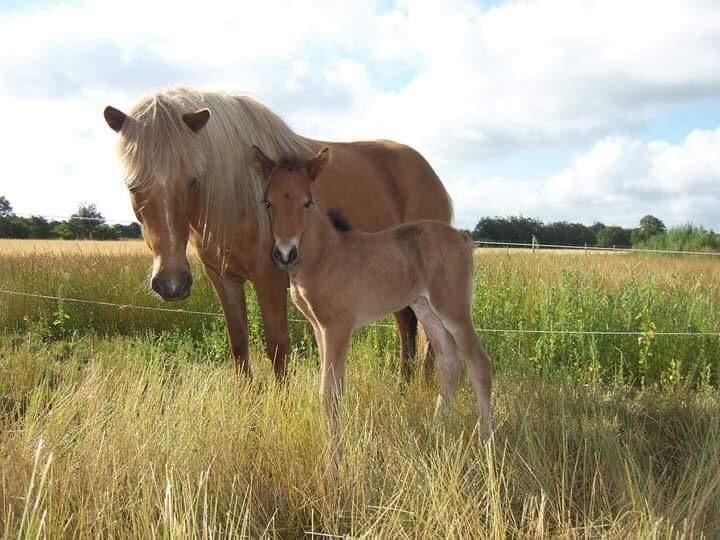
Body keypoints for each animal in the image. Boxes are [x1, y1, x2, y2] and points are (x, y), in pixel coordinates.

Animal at [101, 86, 450, 378]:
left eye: (192, 180)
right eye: (132, 186)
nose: (171, 284)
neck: (236, 194)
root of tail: (430, 173)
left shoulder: (269, 279)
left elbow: (277, 347)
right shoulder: (223, 278)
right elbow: (239, 344)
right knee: (407, 325)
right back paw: (406, 383)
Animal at [250, 144, 492, 448]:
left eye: (307, 202)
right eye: (267, 202)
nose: (285, 254)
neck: (325, 254)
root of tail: (463, 238)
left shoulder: (337, 326)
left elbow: (330, 393)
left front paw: (335, 453)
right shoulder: (318, 327)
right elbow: (330, 388)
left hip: (453, 308)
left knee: (479, 364)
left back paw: (487, 440)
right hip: (425, 306)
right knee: (449, 360)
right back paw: (436, 431)